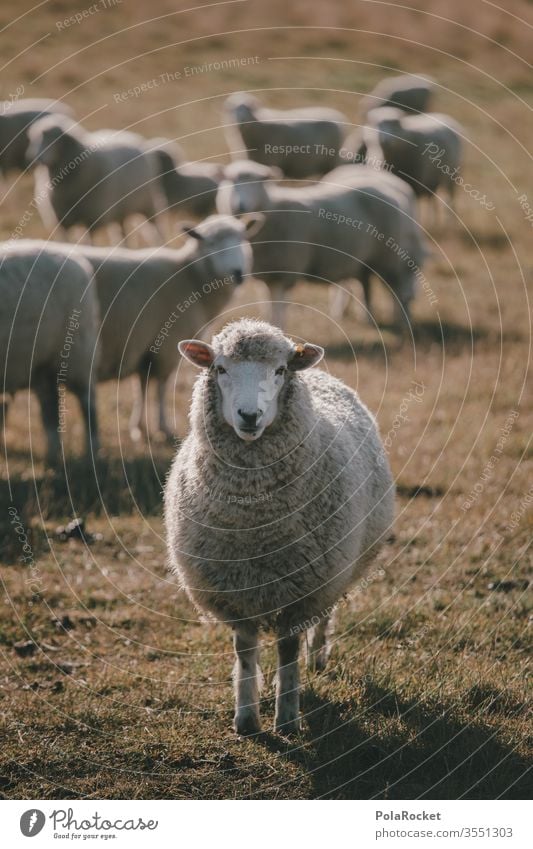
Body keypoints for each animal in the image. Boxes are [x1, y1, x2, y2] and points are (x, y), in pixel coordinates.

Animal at [0, 238, 99, 464]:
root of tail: (77, 260)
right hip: (41, 365)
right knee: (50, 410)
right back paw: (53, 456)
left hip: (76, 351)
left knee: (87, 402)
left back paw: (91, 451)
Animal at [25, 115, 165, 245]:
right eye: (34, 139)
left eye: (55, 140)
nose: (35, 157)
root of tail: (133, 137)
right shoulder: (61, 220)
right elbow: (66, 242)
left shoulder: (92, 218)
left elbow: (90, 242)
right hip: (121, 209)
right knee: (122, 231)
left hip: (147, 202)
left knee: (156, 225)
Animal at [75, 212, 264, 440]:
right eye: (210, 243)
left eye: (243, 238)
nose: (237, 273)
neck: (189, 276)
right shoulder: (166, 346)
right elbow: (161, 388)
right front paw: (163, 427)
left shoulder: (145, 346)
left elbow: (142, 385)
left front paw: (139, 427)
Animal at [164, 318, 392, 736]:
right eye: (220, 368)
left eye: (280, 370)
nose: (249, 416)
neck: (257, 522)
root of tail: (318, 372)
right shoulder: (235, 591)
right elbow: (245, 651)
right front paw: (246, 718)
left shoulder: (302, 587)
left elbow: (287, 649)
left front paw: (286, 718)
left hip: (335, 569)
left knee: (324, 616)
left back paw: (316, 659)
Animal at [214, 159, 426, 328]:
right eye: (230, 181)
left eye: (259, 182)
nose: (240, 205)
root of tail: (389, 191)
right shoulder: (269, 274)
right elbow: (268, 305)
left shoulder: (287, 270)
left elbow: (280, 306)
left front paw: (279, 328)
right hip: (365, 261)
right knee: (366, 285)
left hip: (386, 258)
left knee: (398, 289)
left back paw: (403, 322)